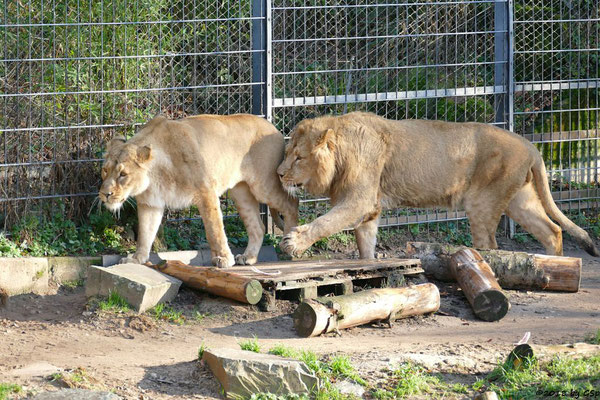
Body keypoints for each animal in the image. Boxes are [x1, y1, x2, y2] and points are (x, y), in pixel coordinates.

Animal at [99, 114, 298, 268]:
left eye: (123, 174)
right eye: (105, 170)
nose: (105, 194)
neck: (154, 177)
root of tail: (273, 127)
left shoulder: (206, 192)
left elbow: (214, 229)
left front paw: (223, 259)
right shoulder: (150, 204)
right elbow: (145, 233)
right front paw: (136, 259)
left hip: (263, 185)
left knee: (291, 204)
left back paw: (290, 245)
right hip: (240, 193)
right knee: (258, 227)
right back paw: (248, 257)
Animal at [278, 111, 600, 258]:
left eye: (299, 157)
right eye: (286, 152)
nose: (280, 174)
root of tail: (532, 147)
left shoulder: (359, 200)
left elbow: (326, 222)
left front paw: (294, 242)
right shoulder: (370, 209)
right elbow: (365, 244)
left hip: (483, 203)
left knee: (491, 245)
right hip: (520, 201)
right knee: (553, 230)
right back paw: (555, 268)